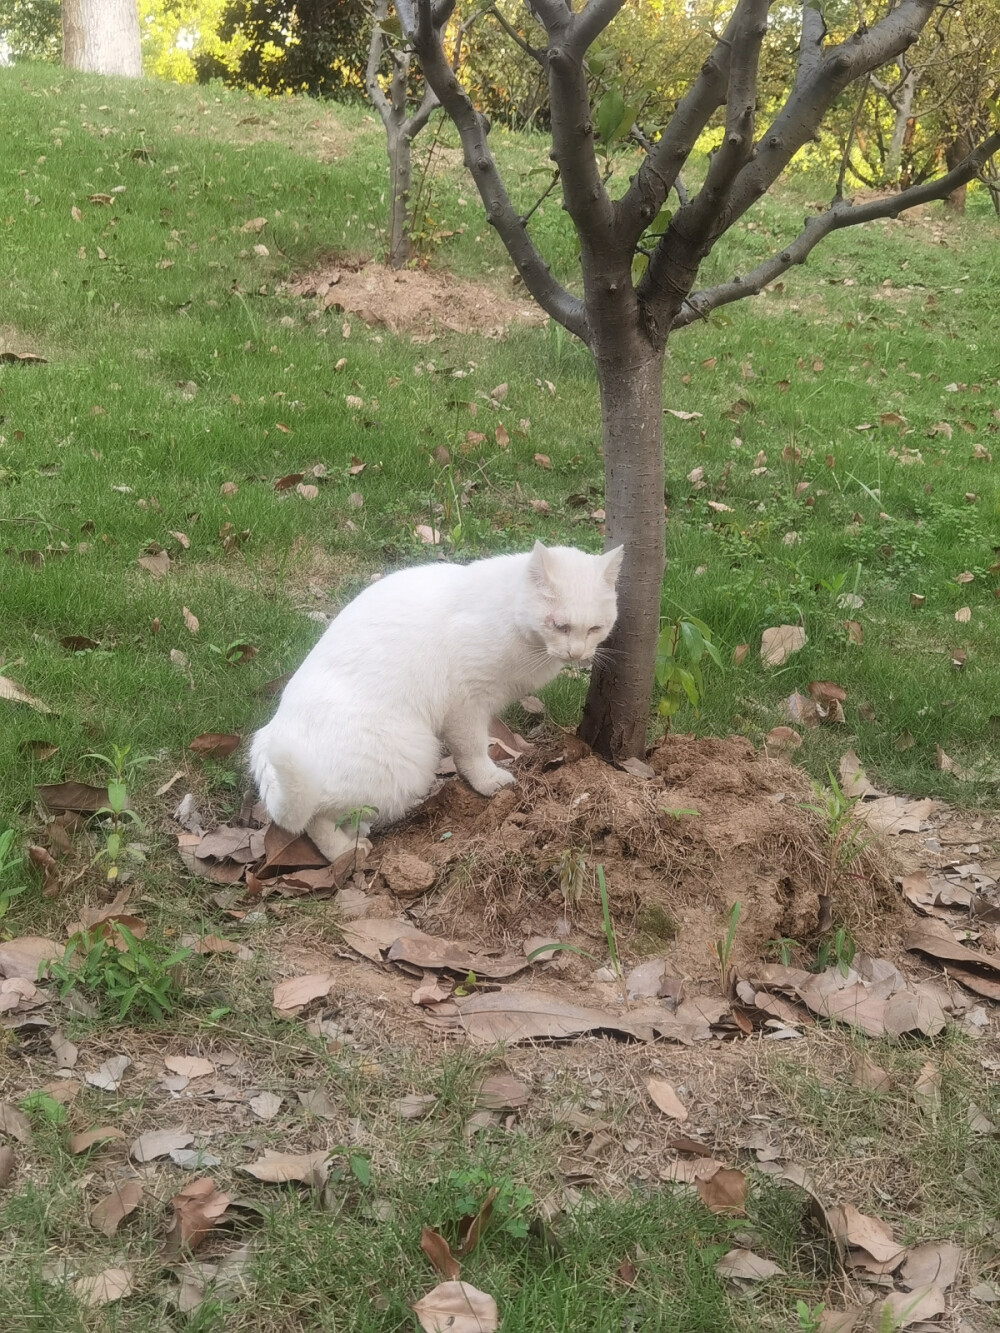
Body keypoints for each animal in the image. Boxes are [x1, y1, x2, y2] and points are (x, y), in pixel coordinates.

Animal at [250, 543, 624, 863]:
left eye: (595, 628)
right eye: (559, 625)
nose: (578, 653)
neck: (511, 615)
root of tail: (267, 739)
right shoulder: (466, 705)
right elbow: (472, 751)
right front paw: (489, 781)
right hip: (408, 761)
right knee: (311, 818)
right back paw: (345, 851)